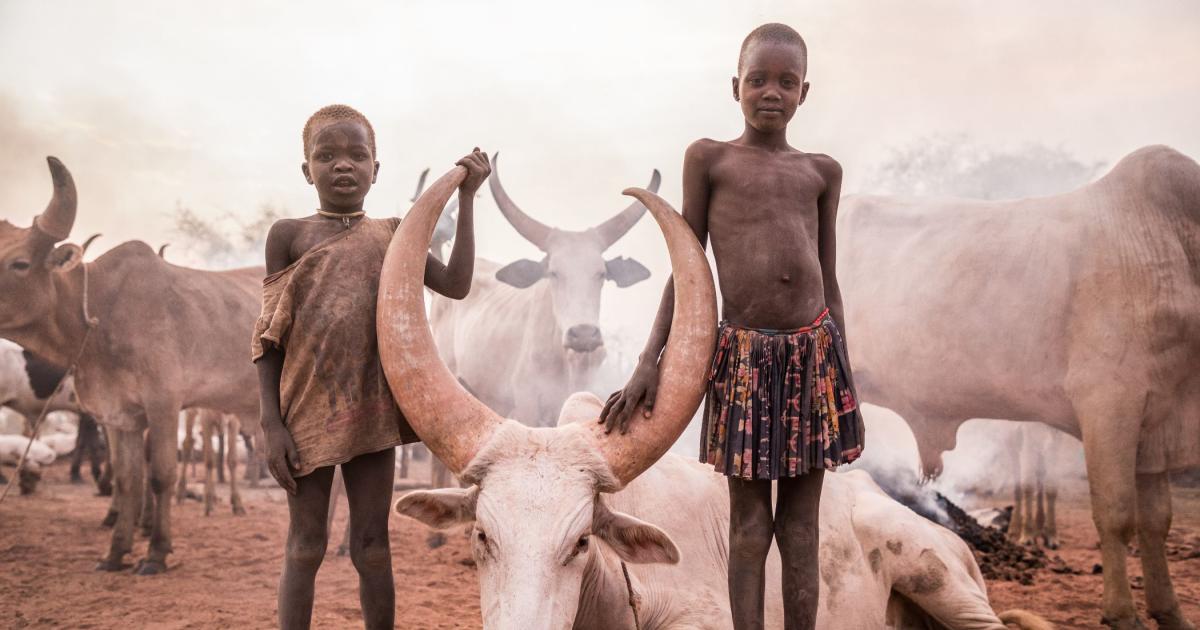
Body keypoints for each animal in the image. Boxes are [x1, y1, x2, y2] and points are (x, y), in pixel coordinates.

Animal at [0, 157, 263, 574]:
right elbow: (126, 480)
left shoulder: (163, 406)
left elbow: (159, 476)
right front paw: (115, 551)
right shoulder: (121, 417)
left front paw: (156, 551)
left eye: (20, 263)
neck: (102, 308)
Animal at [837, 145, 1200, 629]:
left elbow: (1156, 521)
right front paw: (1123, 614)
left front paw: (1170, 613)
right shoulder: (1109, 401)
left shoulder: (1157, 423)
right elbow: (1117, 515)